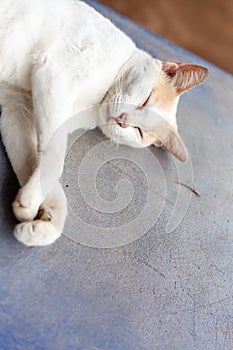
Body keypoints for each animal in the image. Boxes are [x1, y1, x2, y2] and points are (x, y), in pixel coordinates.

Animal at [0, 0, 208, 246]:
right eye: (146, 100)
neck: (92, 106)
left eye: (139, 132)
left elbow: (34, 162)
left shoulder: (17, 109)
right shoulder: (54, 77)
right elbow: (55, 156)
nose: (123, 121)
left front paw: (44, 221)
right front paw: (32, 202)